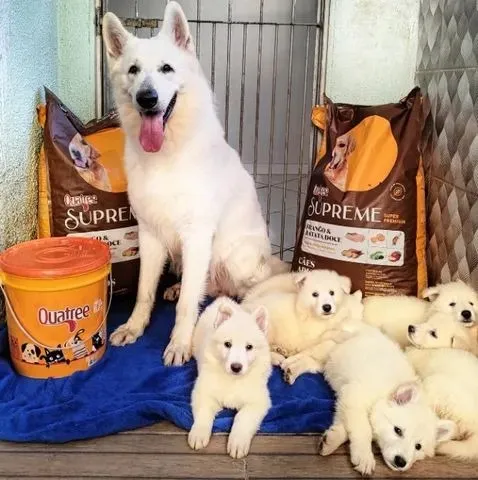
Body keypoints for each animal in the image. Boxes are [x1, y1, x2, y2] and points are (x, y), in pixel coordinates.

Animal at [190, 298, 272, 460]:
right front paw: (198, 434)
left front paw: (238, 442)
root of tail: (221, 300)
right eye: (227, 344)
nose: (236, 367)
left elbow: (242, 418)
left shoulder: (258, 401)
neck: (233, 380)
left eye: (249, 347)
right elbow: (203, 413)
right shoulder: (203, 392)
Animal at [320, 326, 454, 476]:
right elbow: (363, 428)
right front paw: (364, 456)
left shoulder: (348, 399)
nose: (400, 462)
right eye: (398, 430)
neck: (383, 394)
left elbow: (346, 423)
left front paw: (332, 438)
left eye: (418, 446)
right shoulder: (354, 396)